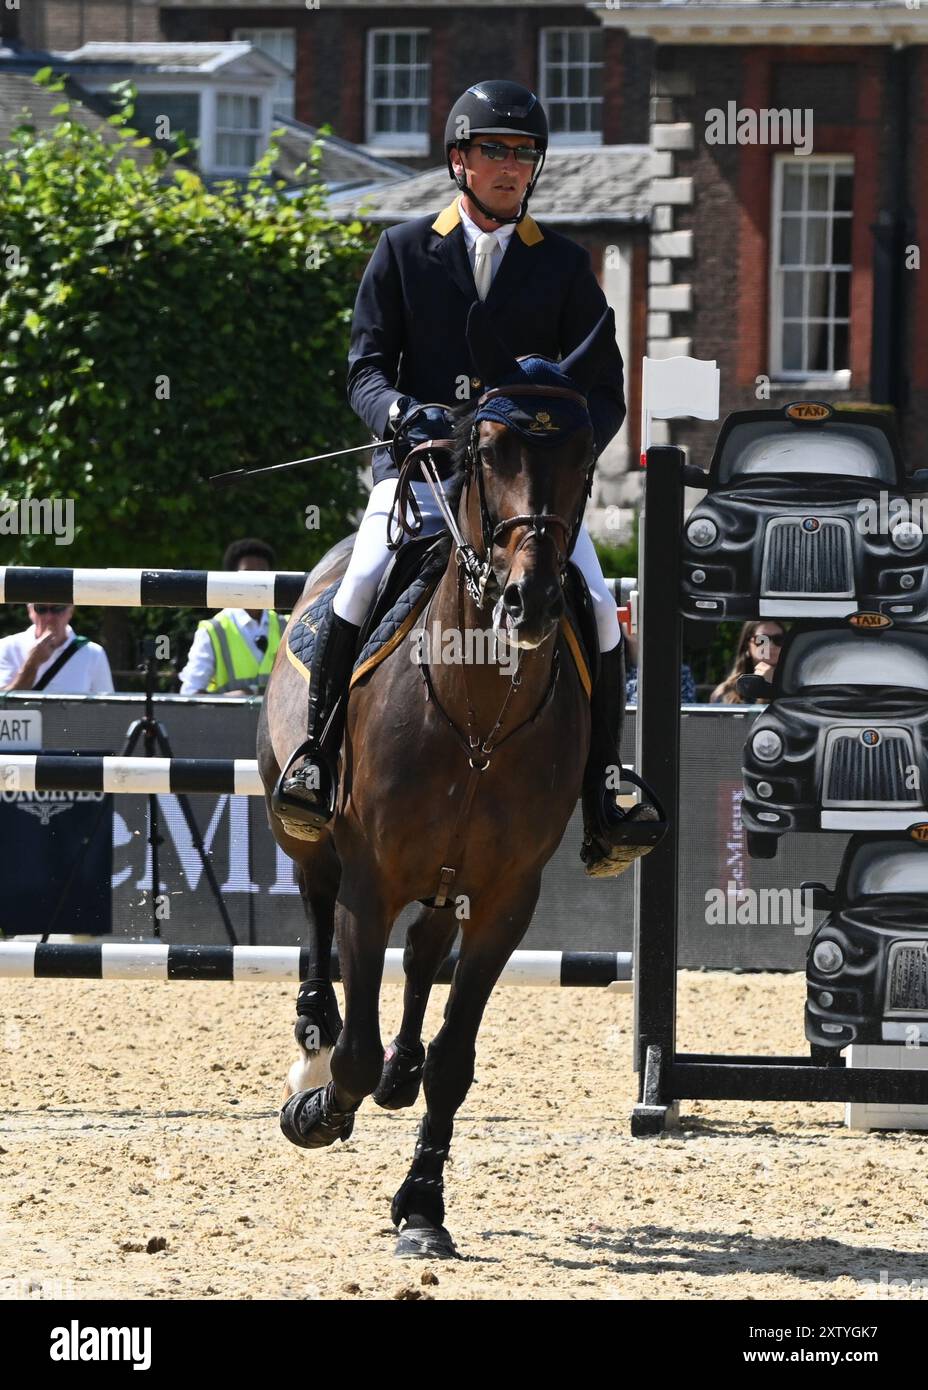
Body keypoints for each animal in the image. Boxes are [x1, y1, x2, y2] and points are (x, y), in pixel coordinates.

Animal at [257, 304, 616, 1262]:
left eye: (586, 451)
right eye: (488, 446)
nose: (531, 601)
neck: (478, 714)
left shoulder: (506, 898)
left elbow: (456, 1058)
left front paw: (422, 1205)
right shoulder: (371, 878)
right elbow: (352, 1037)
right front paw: (318, 1110)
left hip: (450, 880)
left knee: (424, 957)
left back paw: (399, 1073)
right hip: (307, 831)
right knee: (316, 919)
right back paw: (314, 1043)